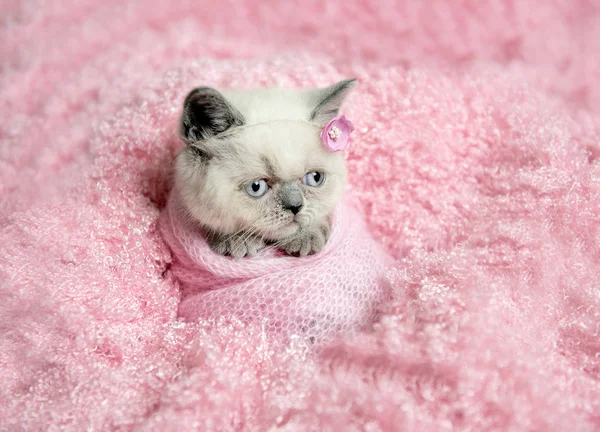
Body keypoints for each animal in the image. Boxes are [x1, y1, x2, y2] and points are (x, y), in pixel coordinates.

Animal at [172, 79, 356, 258]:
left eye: (315, 178)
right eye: (256, 187)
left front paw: (305, 237)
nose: (296, 207)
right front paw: (237, 242)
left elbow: (319, 215)